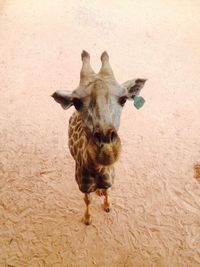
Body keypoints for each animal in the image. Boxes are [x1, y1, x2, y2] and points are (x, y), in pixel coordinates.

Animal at [50, 50, 146, 226]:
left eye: (124, 99)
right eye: (76, 102)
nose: (107, 151)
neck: (98, 172)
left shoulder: (110, 180)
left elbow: (107, 191)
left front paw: (107, 206)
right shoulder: (83, 187)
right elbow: (87, 200)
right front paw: (87, 219)